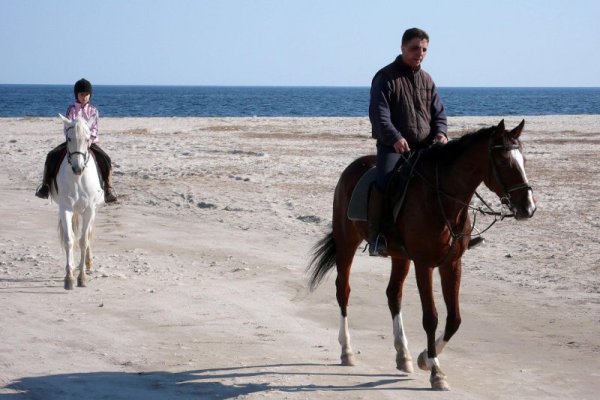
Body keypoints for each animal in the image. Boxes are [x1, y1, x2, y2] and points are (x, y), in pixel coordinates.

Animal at [51, 114, 104, 290]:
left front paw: (82, 277)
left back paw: (88, 263)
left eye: (88, 139)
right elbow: (70, 240)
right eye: (69, 138)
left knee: (88, 233)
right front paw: (69, 278)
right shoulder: (65, 208)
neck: (78, 179)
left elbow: (83, 241)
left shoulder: (89, 210)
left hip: (92, 211)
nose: (77, 168)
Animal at [308, 120, 536, 390]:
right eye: (502, 161)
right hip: (347, 244)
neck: (443, 202)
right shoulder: (424, 264)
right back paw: (347, 351)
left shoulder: (452, 264)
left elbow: (454, 319)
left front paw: (424, 358)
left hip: (400, 257)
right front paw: (436, 371)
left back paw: (403, 355)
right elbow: (431, 317)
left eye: (523, 159)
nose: (528, 208)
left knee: (393, 295)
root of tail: (352, 169)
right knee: (343, 291)